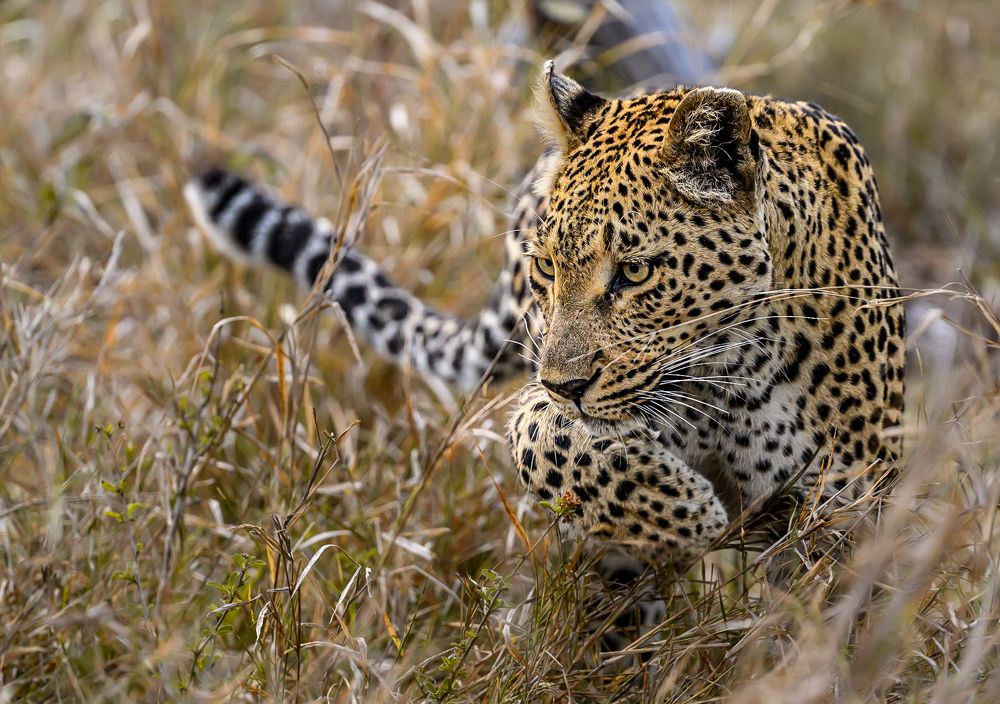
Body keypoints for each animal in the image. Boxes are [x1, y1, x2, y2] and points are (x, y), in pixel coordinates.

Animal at [185, 61, 905, 567]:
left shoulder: (854, 499)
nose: (567, 385)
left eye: (635, 272)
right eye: (548, 269)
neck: (741, 372)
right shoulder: (558, 409)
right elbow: (552, 442)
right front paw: (691, 516)